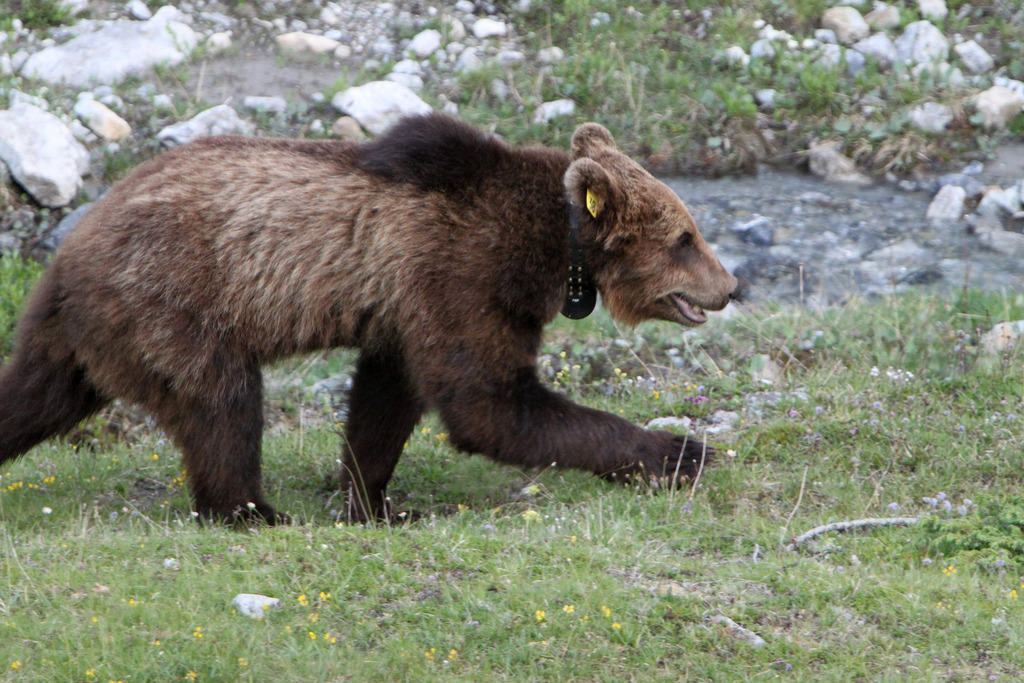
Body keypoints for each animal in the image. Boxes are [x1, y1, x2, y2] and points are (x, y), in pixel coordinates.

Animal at [0, 113, 741, 524]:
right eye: (685, 237)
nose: (729, 286)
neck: (552, 249)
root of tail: (70, 249)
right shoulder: (462, 270)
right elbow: (491, 404)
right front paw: (680, 452)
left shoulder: (403, 306)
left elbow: (387, 400)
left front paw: (376, 499)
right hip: (172, 302)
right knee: (222, 403)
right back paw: (254, 511)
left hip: (79, 335)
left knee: (33, 395)